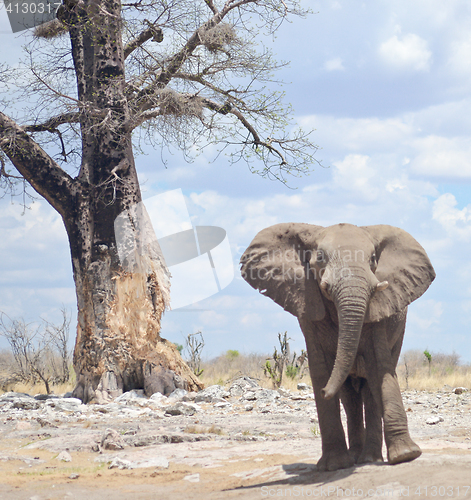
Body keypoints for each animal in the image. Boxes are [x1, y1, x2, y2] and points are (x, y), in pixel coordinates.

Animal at [242, 225, 436, 470]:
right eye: (320, 258)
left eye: (373, 259)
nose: (325, 392)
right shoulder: (308, 307)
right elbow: (321, 368)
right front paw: (334, 466)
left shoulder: (379, 310)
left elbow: (379, 366)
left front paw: (406, 456)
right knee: (349, 397)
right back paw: (354, 458)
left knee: (369, 391)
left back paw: (369, 459)